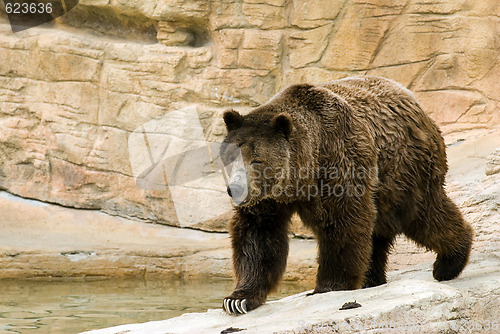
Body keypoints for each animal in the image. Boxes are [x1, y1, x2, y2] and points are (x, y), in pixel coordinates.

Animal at [219, 75, 472, 316]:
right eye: (231, 157)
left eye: (256, 160)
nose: (236, 189)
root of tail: (414, 101)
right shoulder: (267, 200)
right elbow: (258, 237)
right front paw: (238, 299)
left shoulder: (339, 162)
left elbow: (343, 223)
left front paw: (329, 287)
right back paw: (373, 279)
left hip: (403, 167)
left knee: (423, 216)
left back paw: (449, 262)